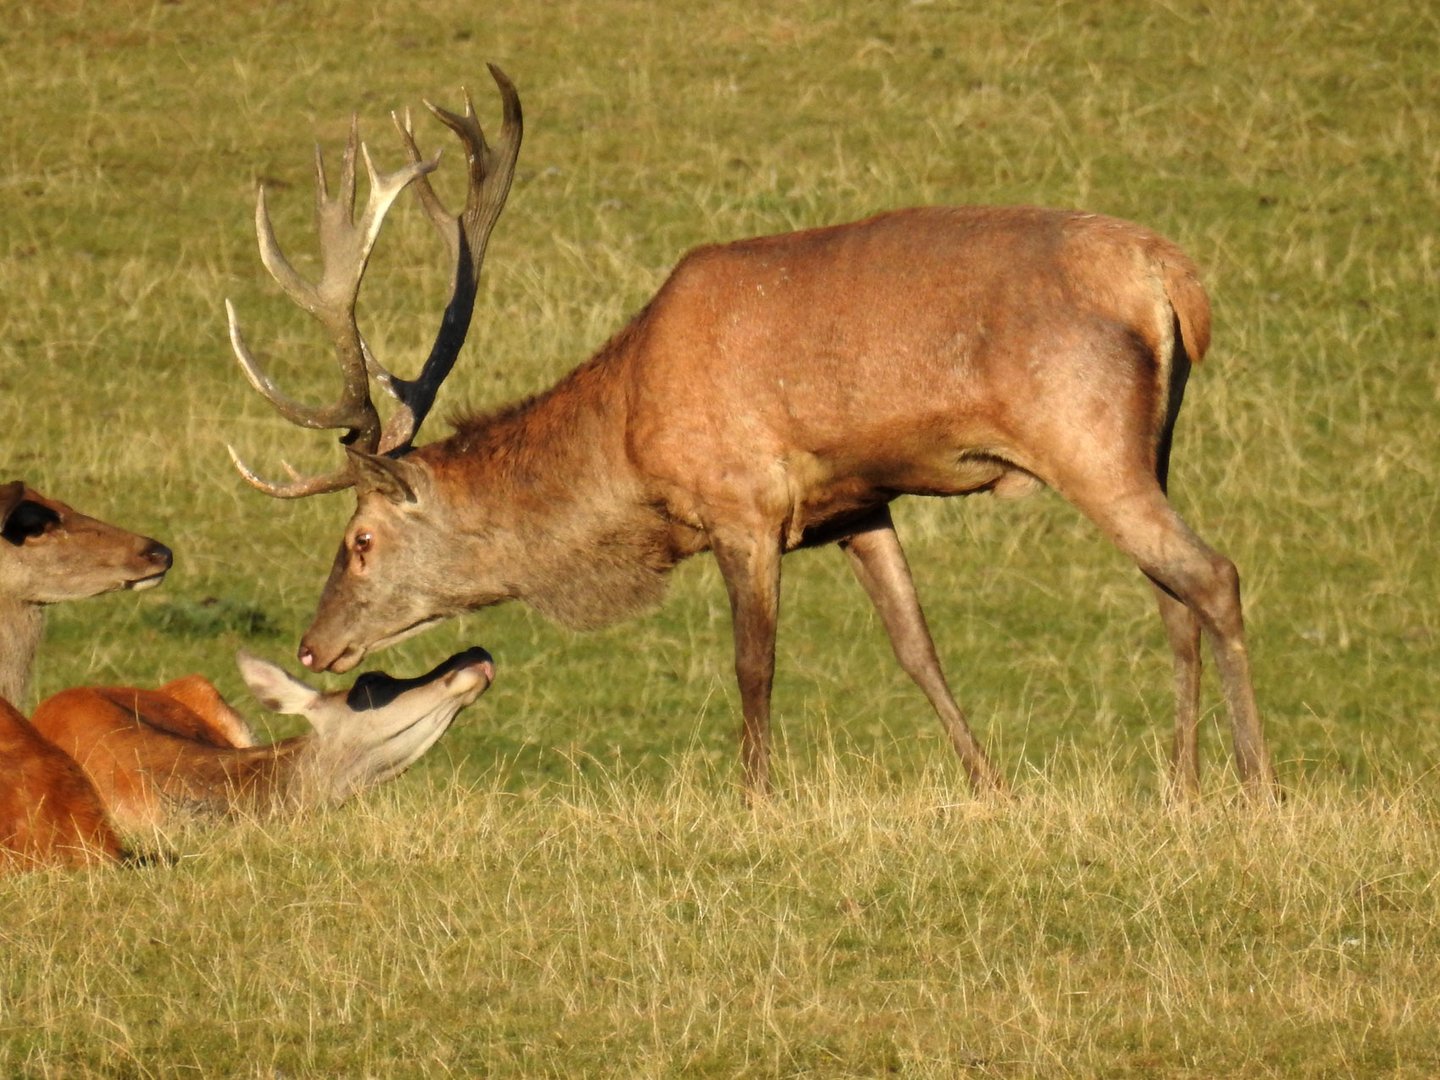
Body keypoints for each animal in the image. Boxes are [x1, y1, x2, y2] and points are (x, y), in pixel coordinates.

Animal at [230, 63, 1278, 800]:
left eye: (360, 541)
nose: (314, 646)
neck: (631, 448)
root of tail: (1174, 282)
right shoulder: (856, 504)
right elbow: (917, 647)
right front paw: (992, 786)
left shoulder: (741, 503)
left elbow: (753, 663)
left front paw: (755, 798)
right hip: (1153, 443)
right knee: (1168, 594)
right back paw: (1182, 785)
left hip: (1086, 435)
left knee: (1211, 576)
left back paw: (1255, 785)